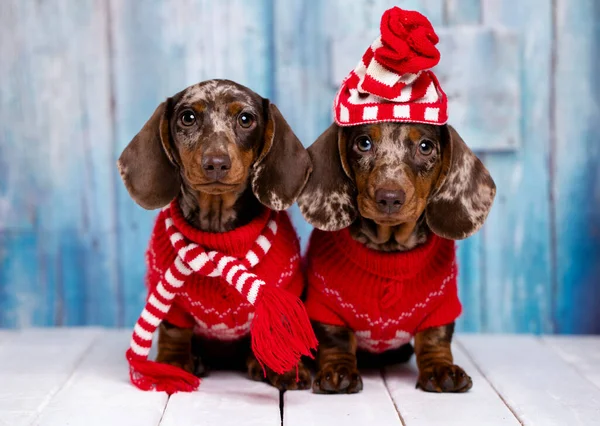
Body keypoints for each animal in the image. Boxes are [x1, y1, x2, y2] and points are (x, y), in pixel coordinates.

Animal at [118, 79, 314, 390]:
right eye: (187, 117)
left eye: (245, 118)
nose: (216, 163)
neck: (219, 236)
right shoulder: (172, 304)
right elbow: (174, 332)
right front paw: (171, 365)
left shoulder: (287, 289)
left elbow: (281, 326)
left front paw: (286, 369)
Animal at [296, 121, 496, 394]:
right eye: (363, 143)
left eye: (425, 146)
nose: (389, 198)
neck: (389, 251)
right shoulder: (325, 305)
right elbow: (336, 340)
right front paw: (338, 371)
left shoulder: (441, 306)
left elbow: (434, 338)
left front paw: (441, 369)